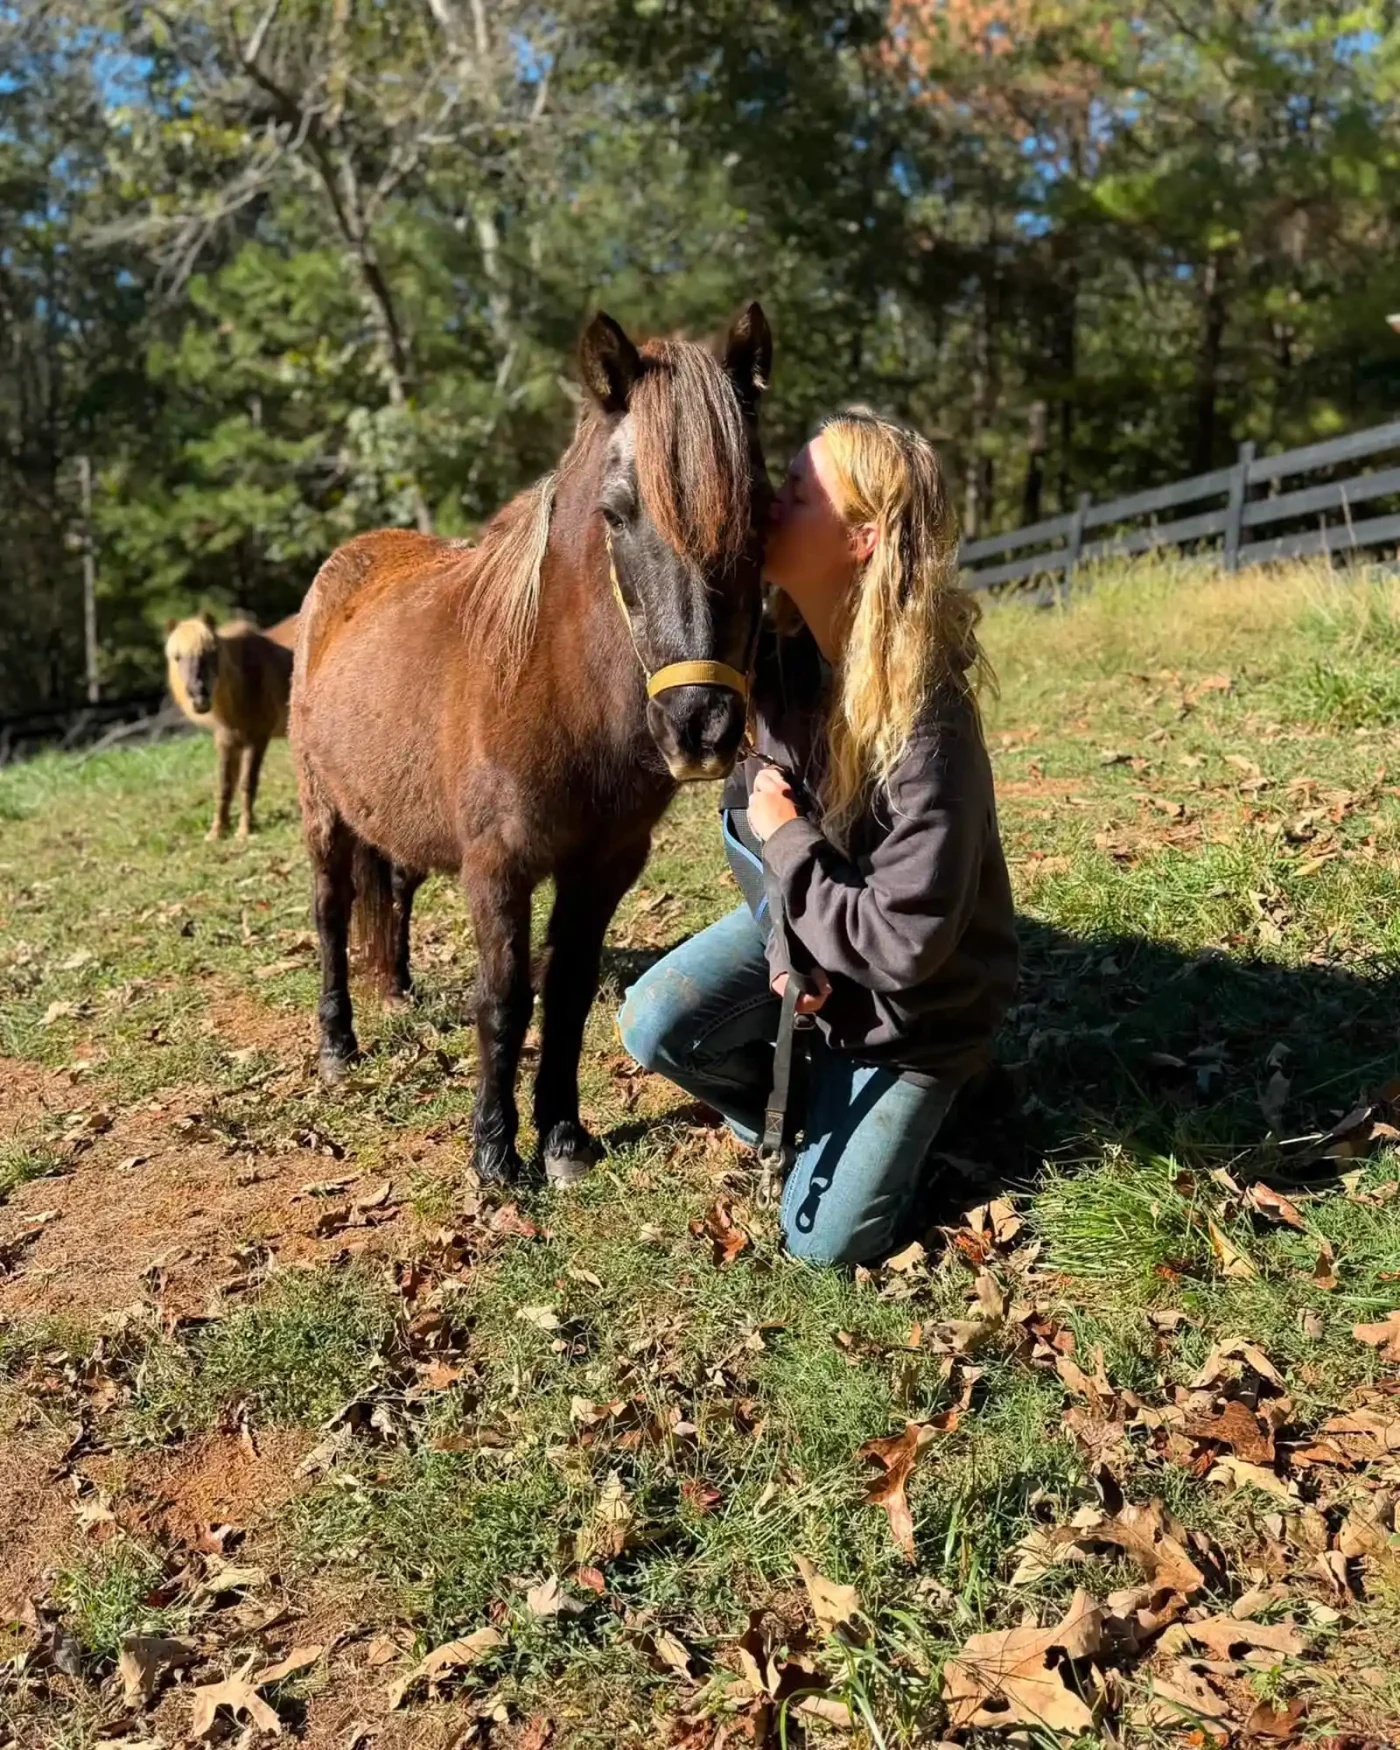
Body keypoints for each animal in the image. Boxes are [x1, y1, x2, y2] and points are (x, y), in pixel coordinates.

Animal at [165, 613, 296, 840]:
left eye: (211, 652)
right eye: (177, 657)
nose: (199, 699)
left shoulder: (257, 739)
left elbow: (247, 783)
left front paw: (244, 830)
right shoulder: (226, 740)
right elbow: (225, 785)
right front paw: (217, 831)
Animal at [291, 304, 772, 1185]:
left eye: (759, 506)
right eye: (617, 512)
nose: (700, 726)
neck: (552, 687)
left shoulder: (605, 865)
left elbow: (570, 989)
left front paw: (563, 1137)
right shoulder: (498, 868)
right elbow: (507, 997)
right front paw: (492, 1149)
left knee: (395, 892)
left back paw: (399, 990)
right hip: (324, 815)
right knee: (332, 913)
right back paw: (339, 1043)